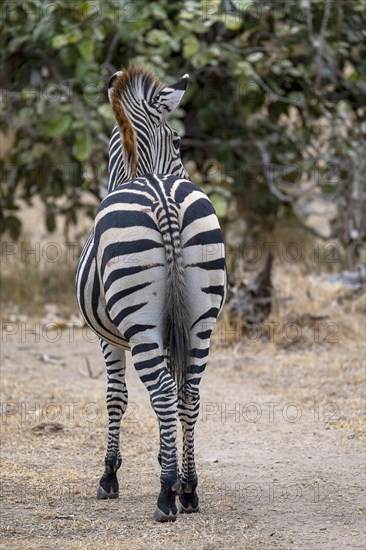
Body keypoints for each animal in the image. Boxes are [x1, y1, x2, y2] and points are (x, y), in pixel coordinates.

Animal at [76, 67, 226, 524]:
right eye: (177, 142)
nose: (186, 173)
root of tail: (163, 195)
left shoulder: (107, 338)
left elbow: (116, 397)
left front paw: (109, 476)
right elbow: (173, 395)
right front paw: (170, 466)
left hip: (139, 322)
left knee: (160, 391)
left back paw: (165, 496)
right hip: (201, 319)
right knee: (189, 392)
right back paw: (189, 489)